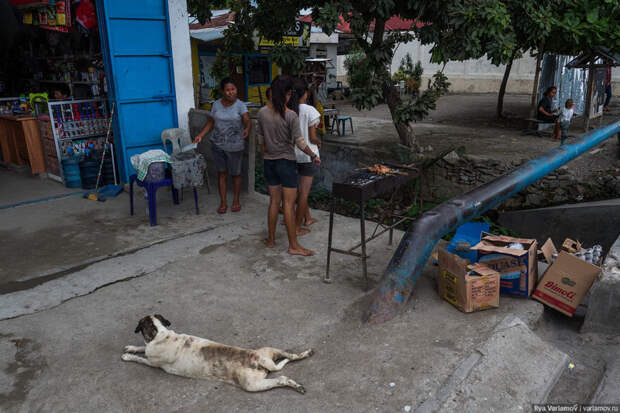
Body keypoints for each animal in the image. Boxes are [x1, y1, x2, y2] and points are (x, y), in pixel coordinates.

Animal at [121, 316, 314, 392]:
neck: (160, 332)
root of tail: (257, 359)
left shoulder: (152, 361)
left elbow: (140, 357)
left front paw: (128, 356)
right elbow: (141, 347)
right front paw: (131, 347)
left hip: (252, 385)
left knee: (281, 379)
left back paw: (296, 386)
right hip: (270, 350)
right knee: (291, 356)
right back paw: (306, 354)